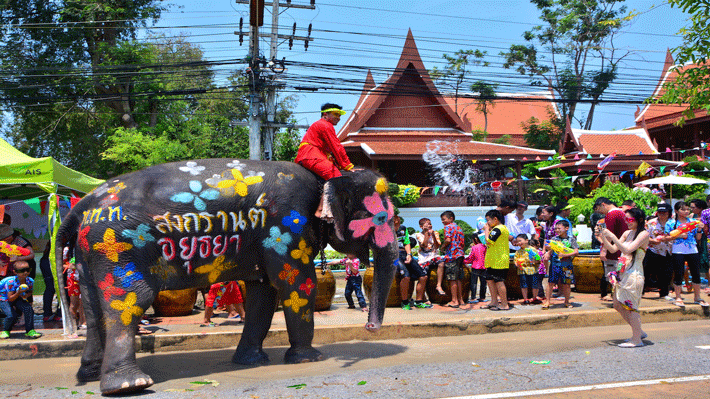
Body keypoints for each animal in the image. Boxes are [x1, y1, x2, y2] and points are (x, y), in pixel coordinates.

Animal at [55, 160, 400, 396]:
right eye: (384, 218)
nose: (370, 327)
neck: (326, 179)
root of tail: (81, 206)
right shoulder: (288, 225)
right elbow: (295, 285)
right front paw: (308, 359)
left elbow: (263, 292)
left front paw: (251, 362)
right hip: (115, 246)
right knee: (128, 301)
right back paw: (130, 385)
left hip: (87, 255)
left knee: (92, 307)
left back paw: (88, 375)